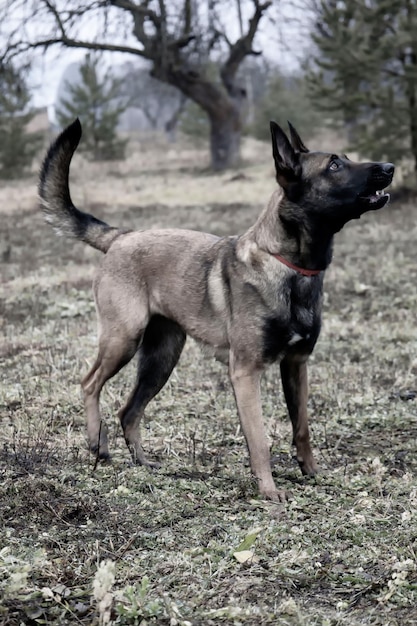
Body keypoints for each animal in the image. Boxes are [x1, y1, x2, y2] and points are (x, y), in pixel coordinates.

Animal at [39, 119, 394, 500]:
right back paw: (96, 442)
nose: (390, 167)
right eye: (334, 165)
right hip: (124, 339)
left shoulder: (297, 365)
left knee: (129, 411)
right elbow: (259, 439)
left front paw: (311, 472)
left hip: (161, 358)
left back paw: (142, 462)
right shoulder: (245, 373)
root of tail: (122, 237)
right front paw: (269, 491)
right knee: (90, 383)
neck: (288, 265)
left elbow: (302, 428)